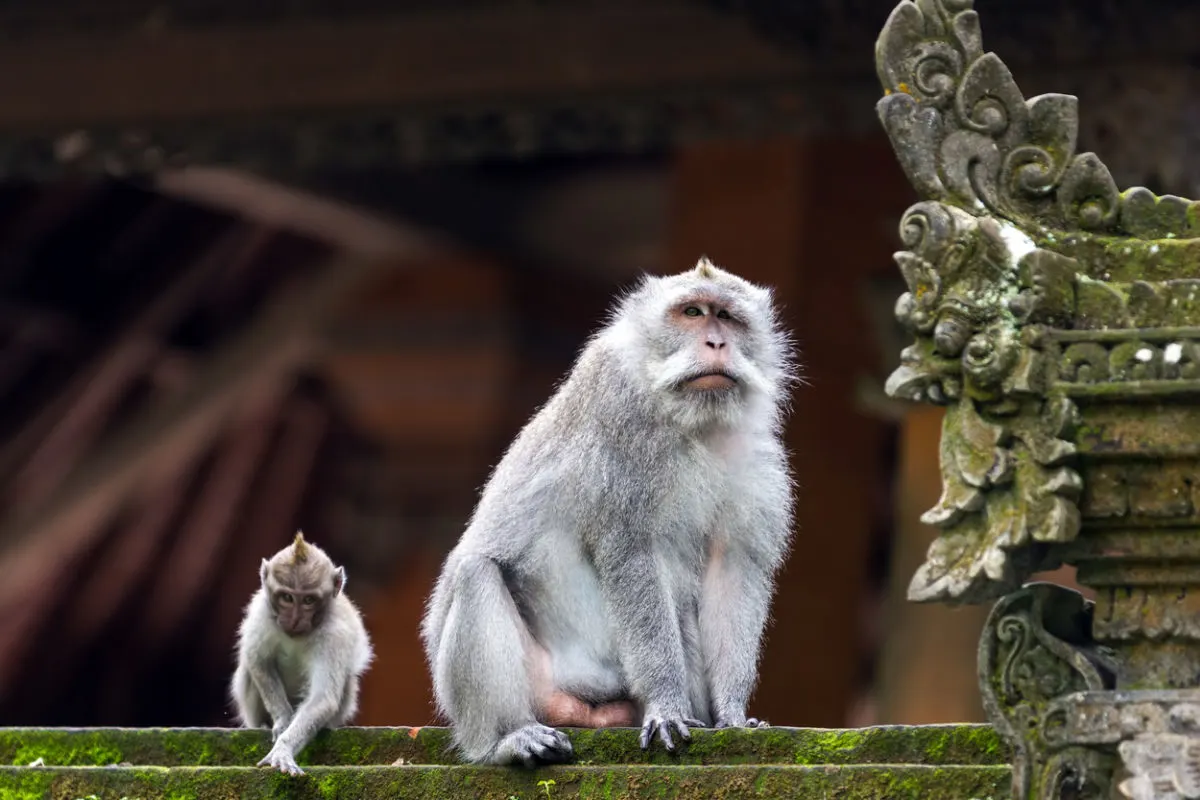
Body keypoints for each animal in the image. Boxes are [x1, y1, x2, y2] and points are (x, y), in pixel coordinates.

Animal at [231, 531, 373, 776]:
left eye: (308, 600)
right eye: (287, 597)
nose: (295, 619)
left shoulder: (334, 634)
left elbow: (322, 698)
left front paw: (283, 748)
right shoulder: (261, 612)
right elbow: (258, 661)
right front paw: (282, 721)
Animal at [420, 257, 796, 767]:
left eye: (728, 317)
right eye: (692, 312)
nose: (716, 342)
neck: (692, 420)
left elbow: (732, 567)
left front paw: (733, 714)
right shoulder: (622, 426)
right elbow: (632, 556)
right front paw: (666, 705)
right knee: (475, 575)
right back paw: (507, 739)